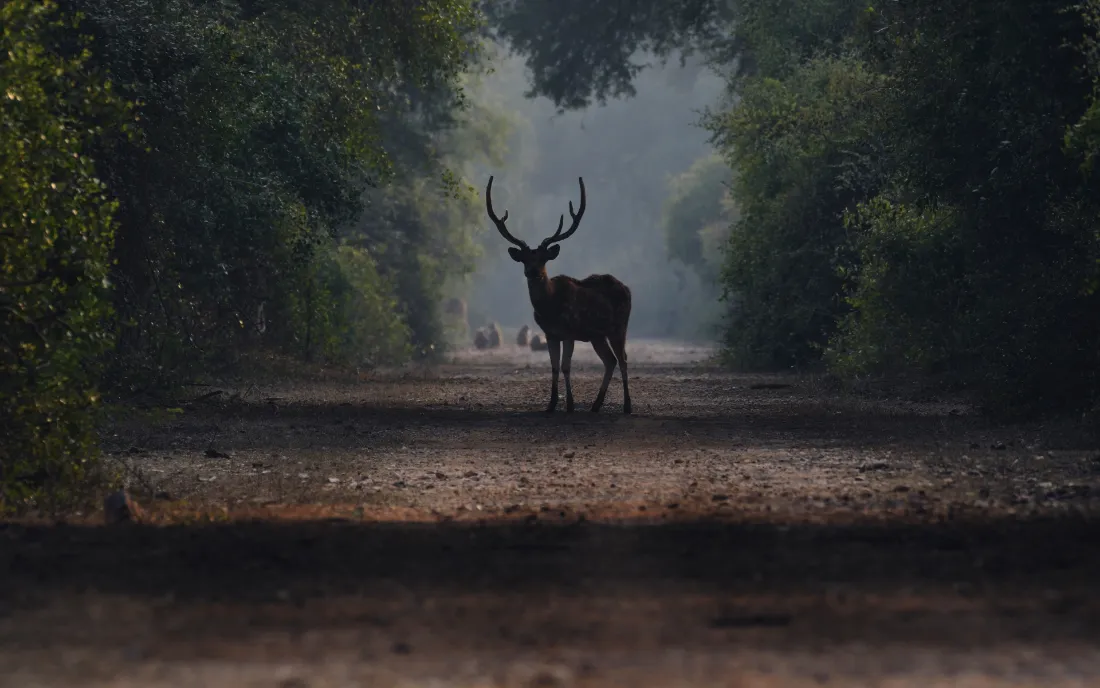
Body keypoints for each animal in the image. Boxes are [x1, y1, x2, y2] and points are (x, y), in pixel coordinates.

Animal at [485, 175, 632, 414]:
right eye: (524, 259)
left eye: (543, 258)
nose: (532, 271)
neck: (550, 308)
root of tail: (627, 289)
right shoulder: (550, 334)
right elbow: (554, 367)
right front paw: (551, 404)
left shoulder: (570, 331)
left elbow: (565, 366)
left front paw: (570, 405)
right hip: (597, 335)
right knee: (609, 361)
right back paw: (595, 405)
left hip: (619, 326)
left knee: (623, 359)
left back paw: (627, 406)